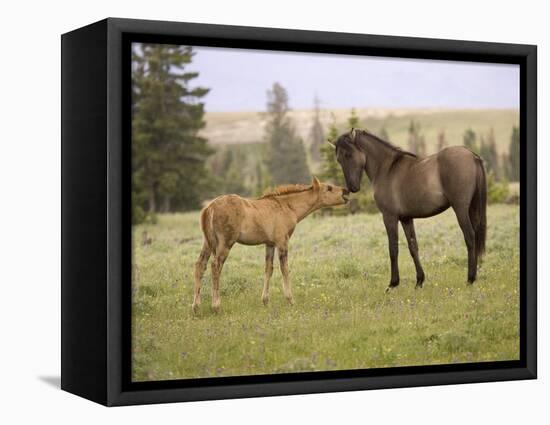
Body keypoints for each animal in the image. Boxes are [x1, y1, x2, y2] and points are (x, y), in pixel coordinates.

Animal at [334, 127, 490, 290]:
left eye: (348, 154)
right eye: (338, 159)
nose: (352, 187)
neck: (386, 169)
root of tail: (472, 156)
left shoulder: (389, 217)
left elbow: (393, 249)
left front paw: (393, 283)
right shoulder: (406, 218)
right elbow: (413, 247)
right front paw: (419, 281)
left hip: (460, 209)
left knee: (470, 237)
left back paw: (470, 279)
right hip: (472, 208)